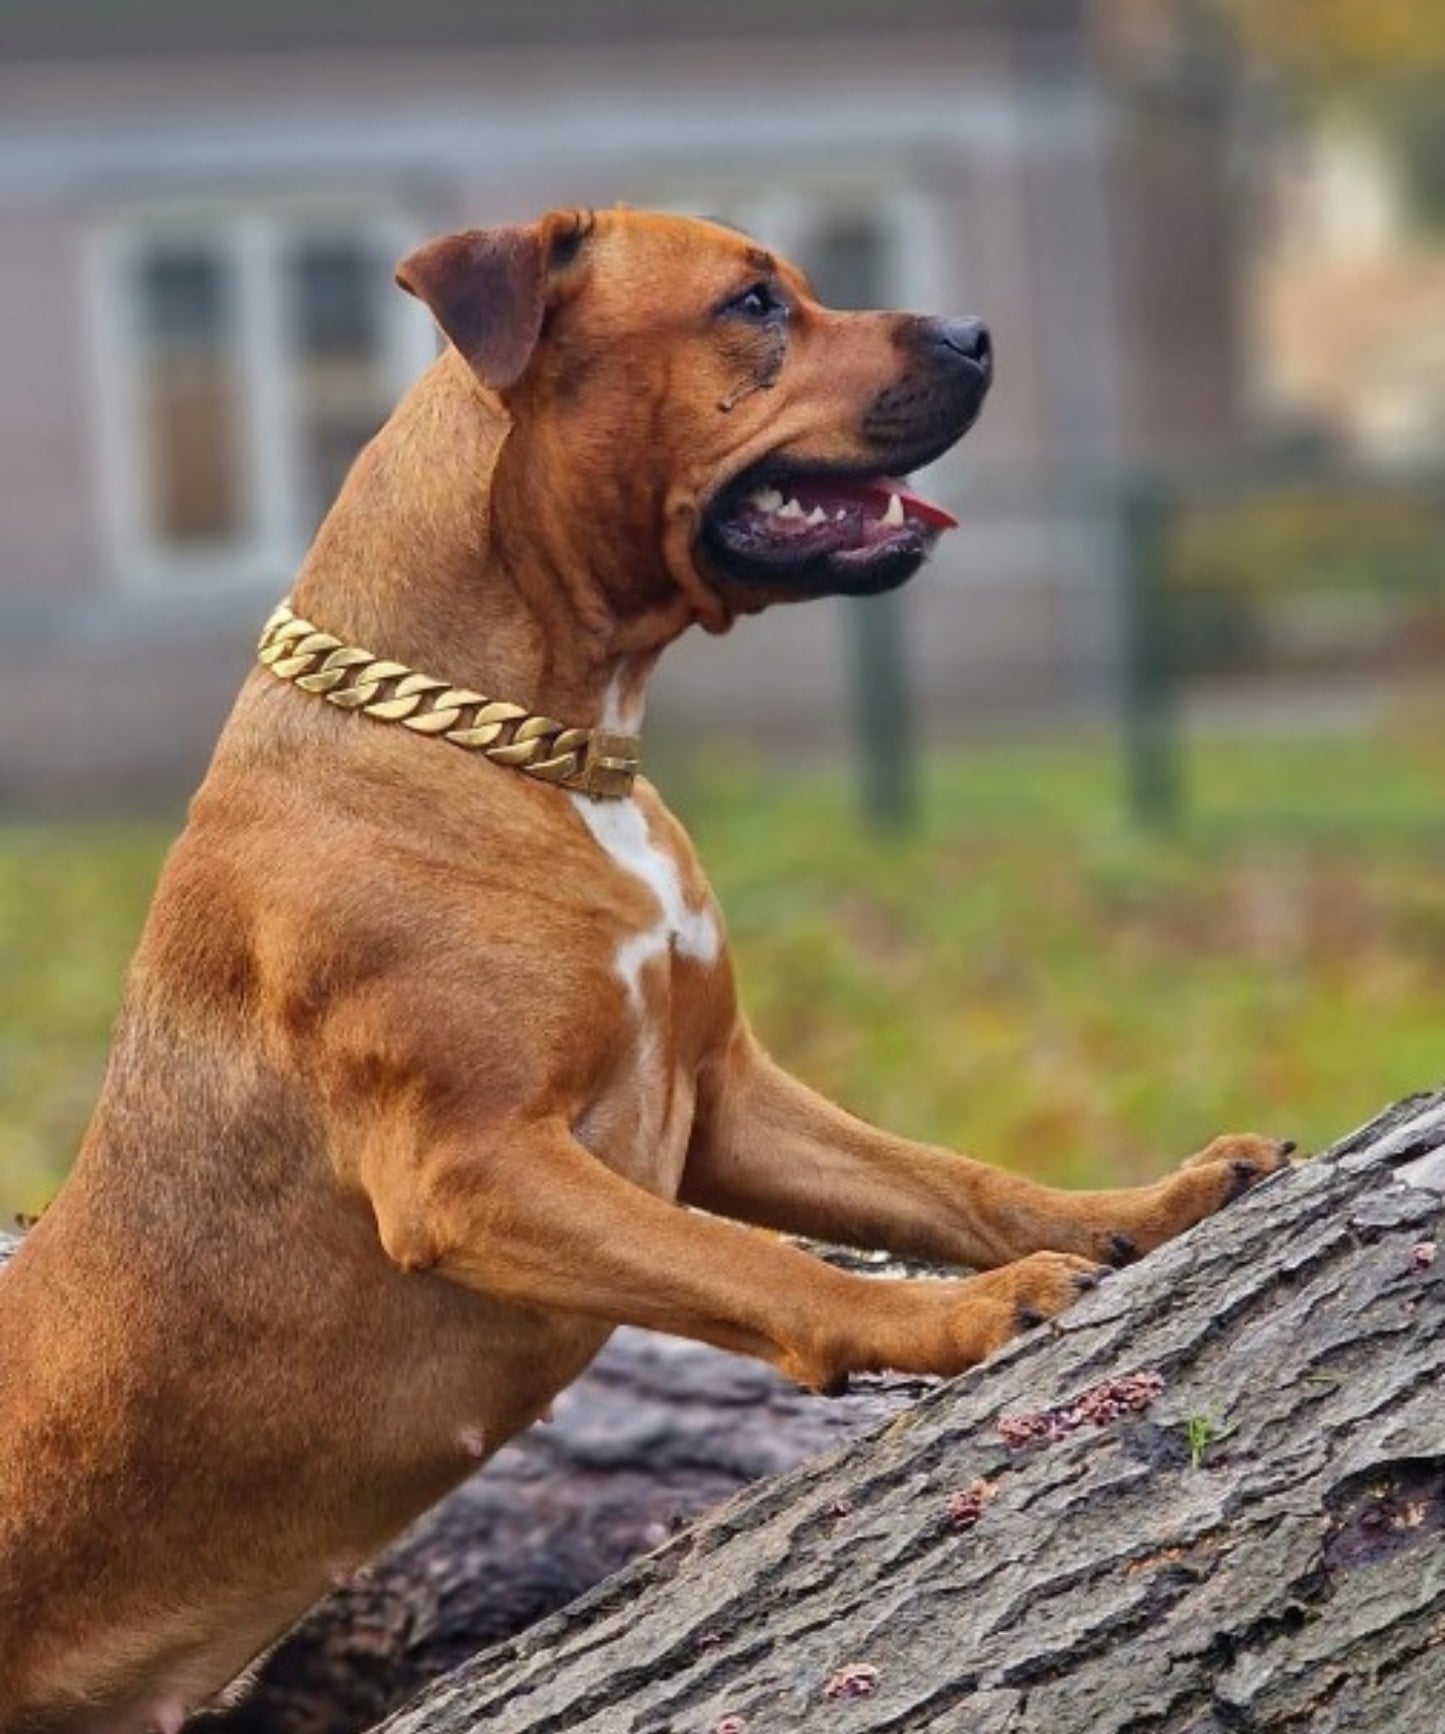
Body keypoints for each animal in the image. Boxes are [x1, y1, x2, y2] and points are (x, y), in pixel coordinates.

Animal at [0, 209, 1283, 1727]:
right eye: (750, 304)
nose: (975, 334)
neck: (541, 745)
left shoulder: (728, 1096)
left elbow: (954, 1181)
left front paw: (1142, 1207)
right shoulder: (473, 1167)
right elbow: (755, 1260)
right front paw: (965, 1311)